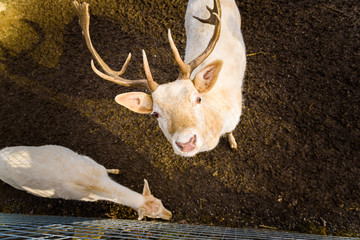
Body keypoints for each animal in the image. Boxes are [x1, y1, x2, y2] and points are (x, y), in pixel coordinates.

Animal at [0, 145, 172, 220]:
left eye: (160, 200)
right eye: (153, 215)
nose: (170, 216)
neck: (95, 183)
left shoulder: (94, 164)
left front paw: (116, 170)